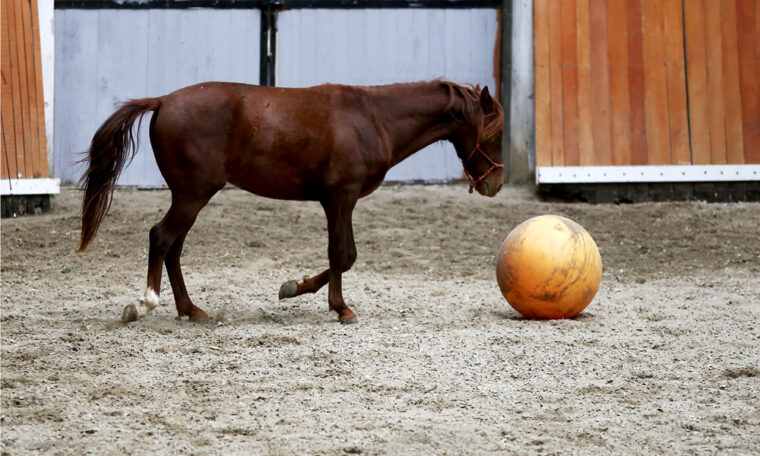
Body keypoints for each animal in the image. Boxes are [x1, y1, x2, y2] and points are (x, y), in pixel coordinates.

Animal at [78, 82, 504, 324]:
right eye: (494, 133)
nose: (496, 183)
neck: (372, 117)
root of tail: (163, 101)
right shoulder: (340, 198)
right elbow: (342, 254)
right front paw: (339, 307)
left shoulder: (339, 201)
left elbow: (344, 257)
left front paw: (294, 288)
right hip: (192, 195)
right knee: (162, 238)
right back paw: (145, 304)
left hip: (189, 197)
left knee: (174, 248)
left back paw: (190, 309)